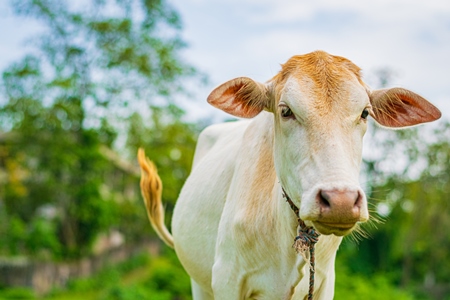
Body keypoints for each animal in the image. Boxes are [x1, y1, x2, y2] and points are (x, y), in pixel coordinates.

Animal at [137, 50, 440, 298]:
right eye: (286, 111)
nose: (340, 201)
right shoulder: (226, 278)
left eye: (365, 113)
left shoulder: (324, 284)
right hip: (199, 282)